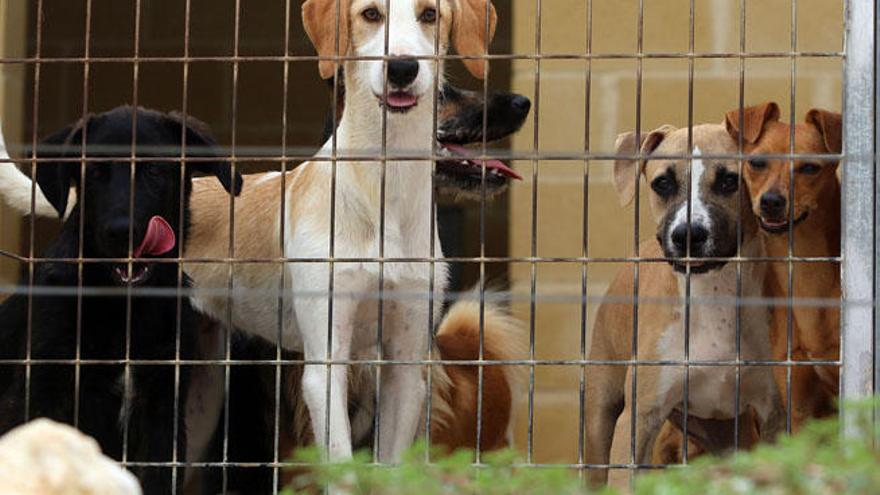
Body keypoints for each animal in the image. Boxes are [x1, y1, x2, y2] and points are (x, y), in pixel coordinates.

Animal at [0, 105, 241, 495]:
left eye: (155, 170)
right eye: (96, 172)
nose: (122, 231)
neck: (125, 304)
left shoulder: (163, 409)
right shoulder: (41, 391)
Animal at [584, 124, 784, 488]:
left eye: (729, 181)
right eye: (662, 182)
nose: (687, 235)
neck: (712, 295)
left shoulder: (771, 412)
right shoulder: (637, 419)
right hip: (600, 415)